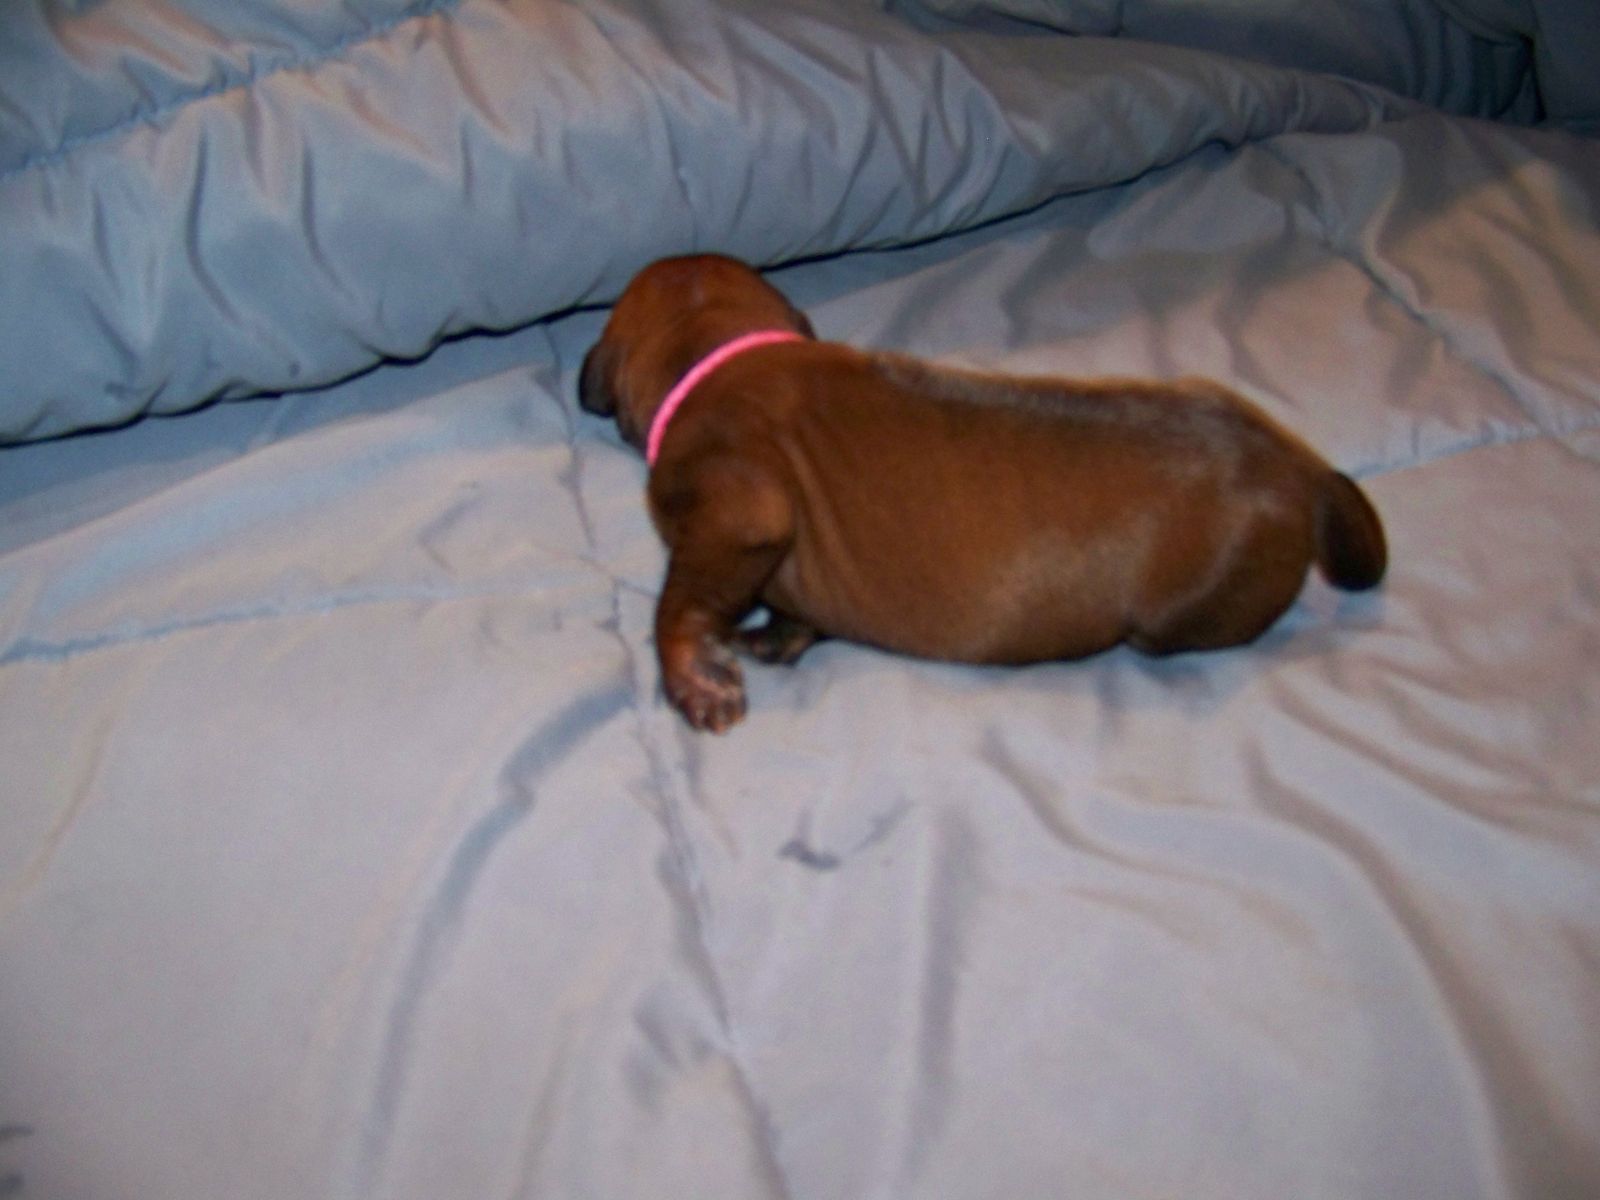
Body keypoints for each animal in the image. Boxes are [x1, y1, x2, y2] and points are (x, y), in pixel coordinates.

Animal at [579, 254, 1386, 732]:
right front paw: (772, 639)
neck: (721, 354)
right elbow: (793, 613)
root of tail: (1300, 466)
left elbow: (681, 602)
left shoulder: (738, 513)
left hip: (1176, 615)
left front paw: (698, 677)